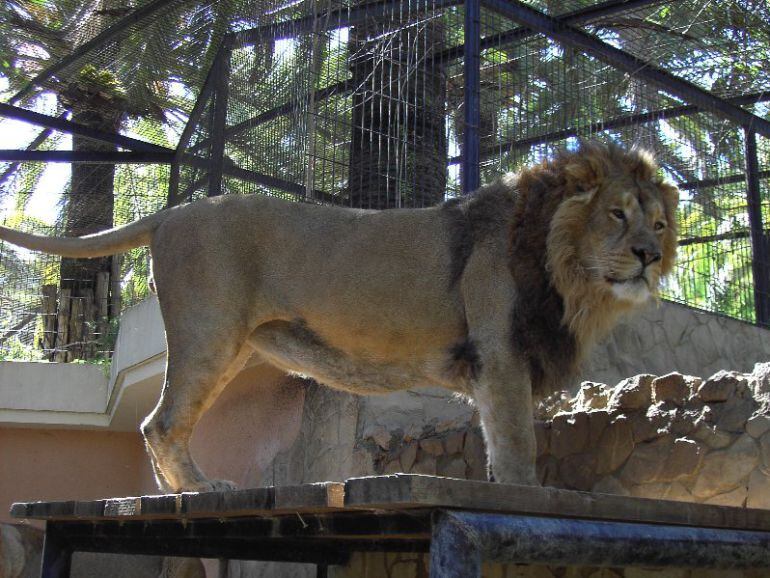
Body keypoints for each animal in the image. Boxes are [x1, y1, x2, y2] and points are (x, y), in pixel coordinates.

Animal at [0, 142, 678, 492]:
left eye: (659, 222)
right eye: (617, 214)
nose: (649, 255)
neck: (571, 277)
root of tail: (174, 212)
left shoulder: (495, 368)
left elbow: (495, 444)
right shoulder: (500, 355)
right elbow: (516, 448)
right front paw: (521, 496)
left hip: (234, 347)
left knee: (160, 422)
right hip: (208, 335)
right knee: (160, 422)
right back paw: (200, 490)